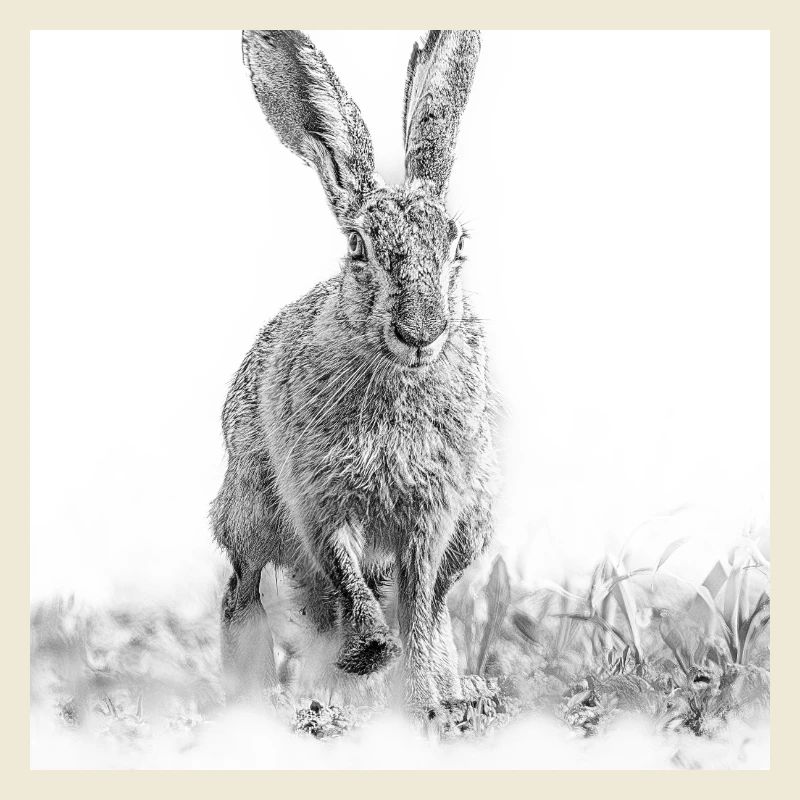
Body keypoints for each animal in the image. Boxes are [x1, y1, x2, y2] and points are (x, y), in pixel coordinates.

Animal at [211, 29, 497, 715]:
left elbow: (418, 604)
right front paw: (368, 655)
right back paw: (263, 698)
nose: (421, 332)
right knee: (244, 594)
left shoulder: (433, 513)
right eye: (357, 248)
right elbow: (345, 578)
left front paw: (425, 700)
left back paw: (449, 692)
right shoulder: (319, 500)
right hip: (250, 511)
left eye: (458, 245)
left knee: (435, 604)